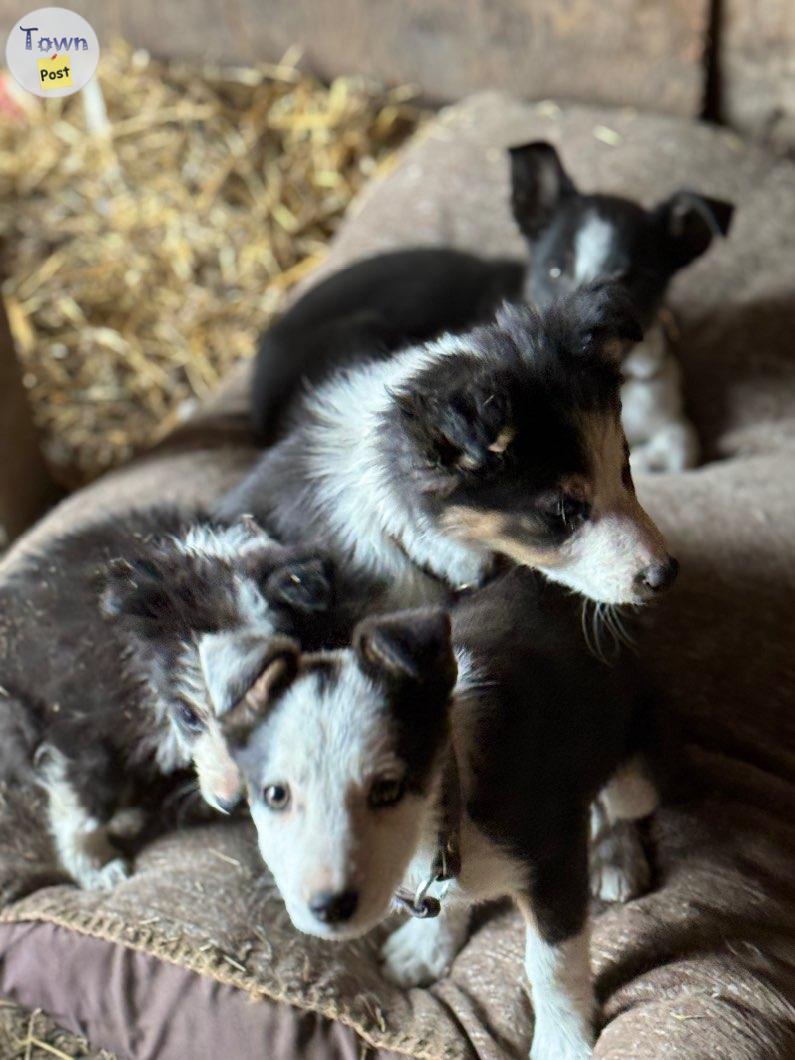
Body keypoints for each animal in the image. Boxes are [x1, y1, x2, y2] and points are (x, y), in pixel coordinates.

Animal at [224, 568, 661, 1060]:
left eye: (387, 789)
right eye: (275, 795)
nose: (328, 908)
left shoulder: (555, 860)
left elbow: (552, 964)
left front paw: (562, 1044)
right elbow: (440, 899)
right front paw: (425, 949)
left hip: (631, 760)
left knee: (622, 798)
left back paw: (617, 857)